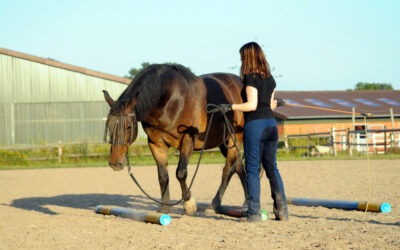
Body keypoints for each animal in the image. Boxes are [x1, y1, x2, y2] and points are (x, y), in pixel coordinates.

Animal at [103, 63, 247, 215]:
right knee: (239, 167)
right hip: (224, 143)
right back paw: (246, 203)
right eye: (109, 125)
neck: (170, 101)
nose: (115, 163)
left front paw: (189, 204)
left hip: (235, 139)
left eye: (129, 127)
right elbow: (162, 176)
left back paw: (214, 205)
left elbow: (181, 173)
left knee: (228, 169)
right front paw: (165, 208)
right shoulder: (156, 143)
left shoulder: (188, 139)